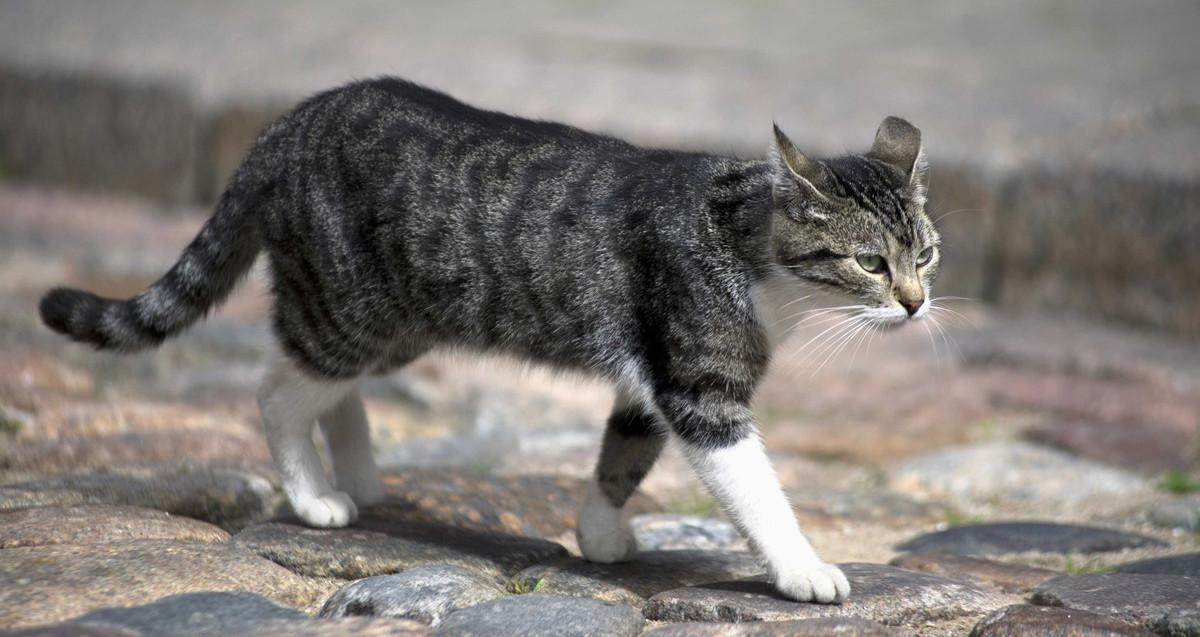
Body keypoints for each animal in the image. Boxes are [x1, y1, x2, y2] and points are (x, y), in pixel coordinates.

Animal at [35, 77, 936, 604]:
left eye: (925, 254)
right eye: (869, 262)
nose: (917, 303)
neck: (752, 249)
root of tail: (288, 121)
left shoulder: (652, 374)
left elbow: (624, 452)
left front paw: (598, 531)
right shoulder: (698, 381)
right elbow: (756, 488)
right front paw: (802, 567)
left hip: (394, 324)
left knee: (328, 390)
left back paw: (358, 474)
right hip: (352, 311)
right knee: (279, 389)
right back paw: (315, 494)